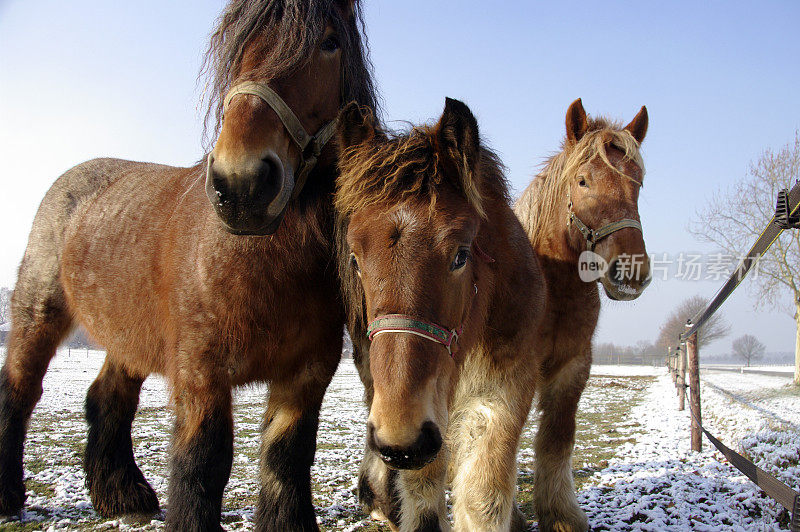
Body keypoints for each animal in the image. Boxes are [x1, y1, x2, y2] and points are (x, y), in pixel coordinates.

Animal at [0, 2, 376, 528]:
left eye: (329, 43)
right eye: (234, 48)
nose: (242, 185)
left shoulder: (306, 374)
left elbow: (287, 458)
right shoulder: (201, 371)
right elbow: (202, 462)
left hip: (128, 337)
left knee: (107, 398)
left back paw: (123, 496)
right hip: (39, 315)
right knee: (19, 391)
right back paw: (8, 496)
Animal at [334, 100, 548, 532]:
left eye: (461, 255)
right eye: (355, 259)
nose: (400, 439)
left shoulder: (501, 394)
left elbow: (483, 496)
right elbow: (423, 503)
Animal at [512, 97, 648, 528]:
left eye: (638, 183)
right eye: (583, 181)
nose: (631, 272)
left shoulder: (573, 364)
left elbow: (557, 437)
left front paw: (559, 516)